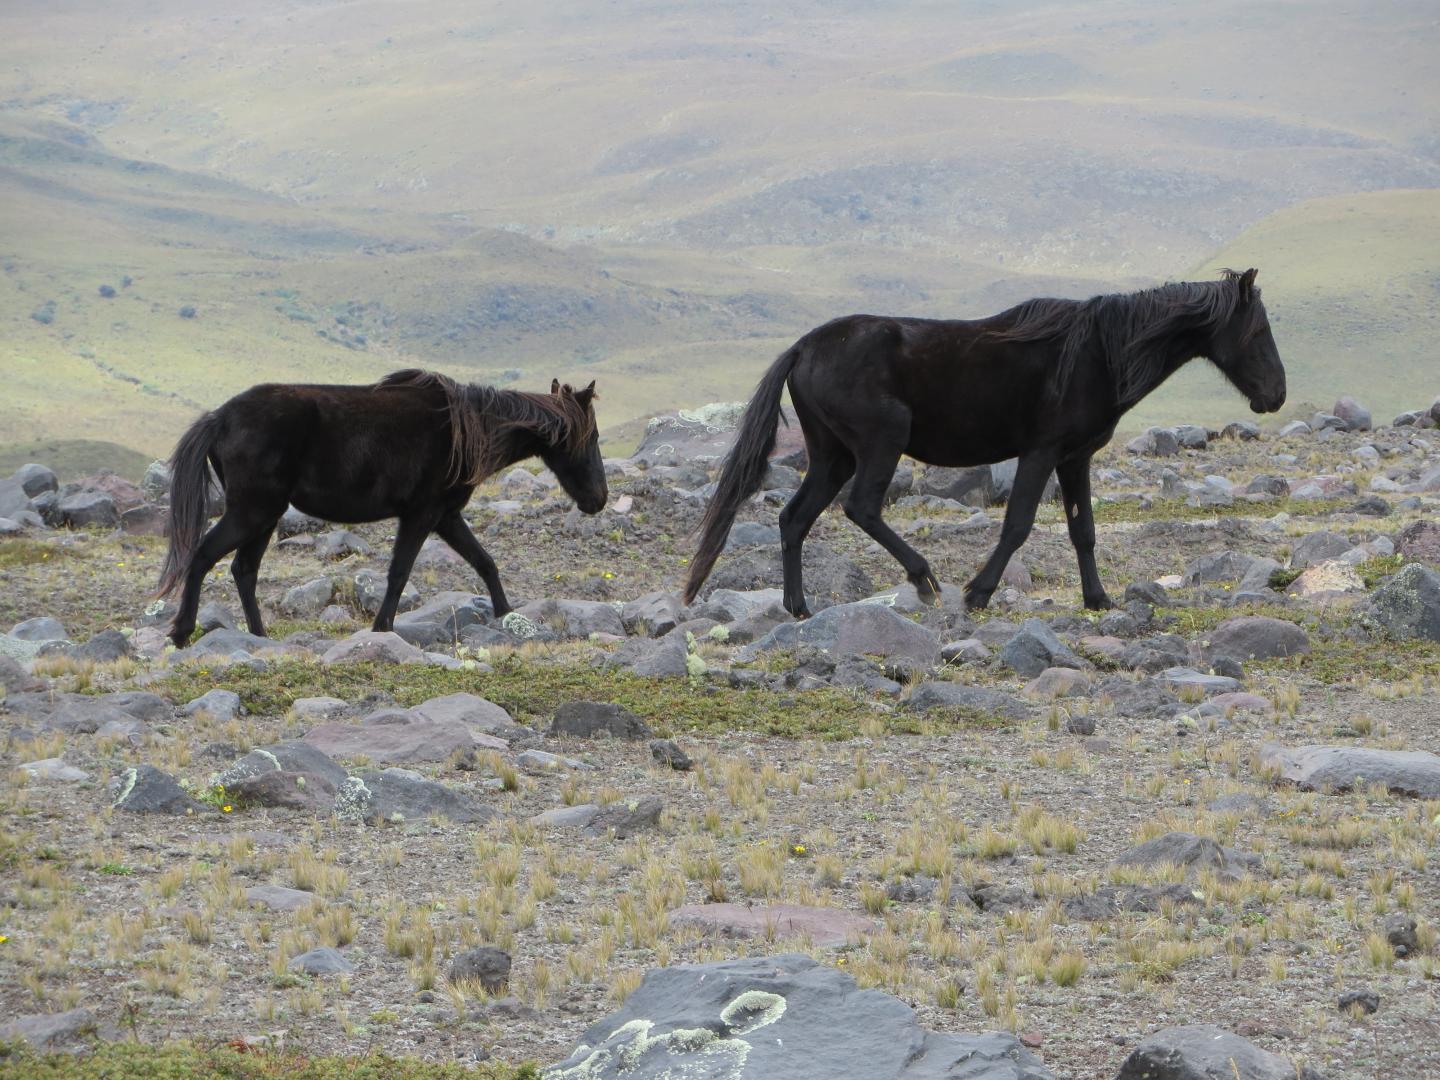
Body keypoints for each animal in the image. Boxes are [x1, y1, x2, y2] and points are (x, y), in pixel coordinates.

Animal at [158, 370, 606, 647]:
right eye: (592, 436)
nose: (598, 499)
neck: (466, 429)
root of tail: (219, 417)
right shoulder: (423, 515)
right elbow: (399, 572)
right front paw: (382, 627)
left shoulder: (446, 517)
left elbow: (485, 562)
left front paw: (507, 616)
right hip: (250, 512)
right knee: (203, 557)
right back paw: (182, 632)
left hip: (264, 515)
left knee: (244, 570)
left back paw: (258, 636)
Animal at [684, 268, 1286, 617]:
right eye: (1257, 331)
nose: (1276, 395)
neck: (1099, 353)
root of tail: (804, 347)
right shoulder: (1041, 453)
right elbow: (1018, 524)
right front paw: (978, 592)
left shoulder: (1075, 459)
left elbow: (1083, 532)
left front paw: (1098, 599)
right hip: (879, 443)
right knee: (862, 509)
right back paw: (925, 579)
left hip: (832, 456)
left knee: (794, 519)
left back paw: (800, 608)